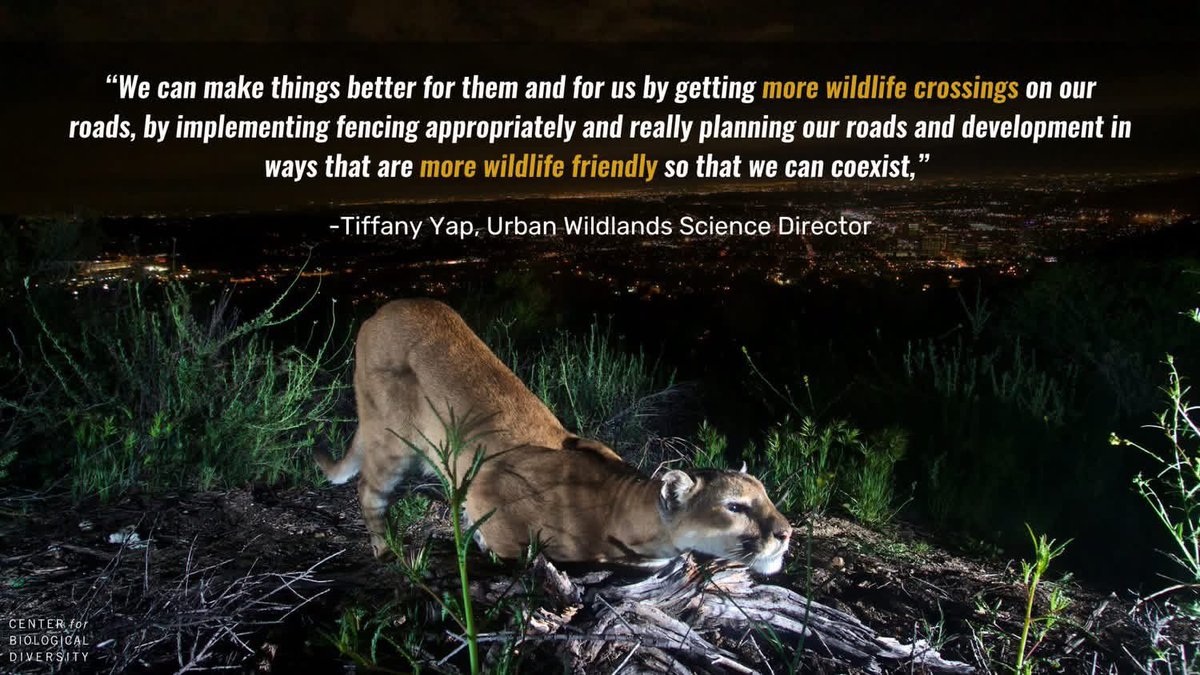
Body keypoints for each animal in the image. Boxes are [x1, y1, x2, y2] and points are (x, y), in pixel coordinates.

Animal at [315, 299, 792, 574]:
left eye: (767, 498)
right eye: (734, 506)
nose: (786, 533)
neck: (622, 507)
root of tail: (381, 311)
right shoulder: (490, 489)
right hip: (393, 441)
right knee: (368, 491)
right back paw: (388, 551)